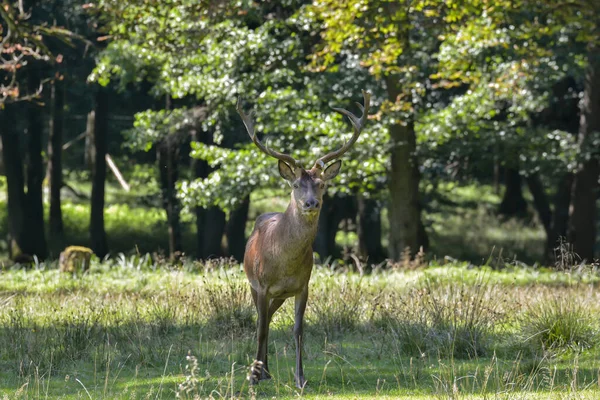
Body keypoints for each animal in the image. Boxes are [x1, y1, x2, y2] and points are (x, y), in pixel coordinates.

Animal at [236, 90, 370, 388]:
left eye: (322, 184)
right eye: (297, 184)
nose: (311, 203)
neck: (284, 263)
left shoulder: (303, 286)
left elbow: (298, 330)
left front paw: (300, 378)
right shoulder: (262, 285)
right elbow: (260, 329)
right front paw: (252, 377)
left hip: (280, 295)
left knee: (269, 319)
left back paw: (267, 370)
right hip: (252, 284)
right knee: (261, 321)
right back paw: (259, 371)